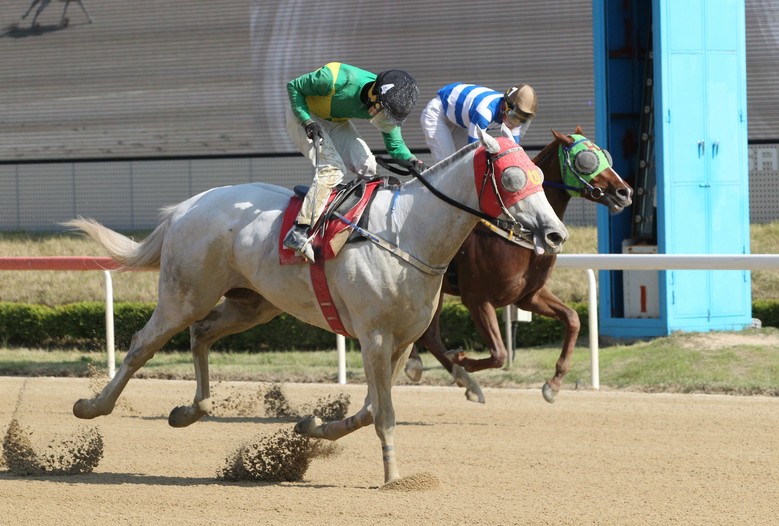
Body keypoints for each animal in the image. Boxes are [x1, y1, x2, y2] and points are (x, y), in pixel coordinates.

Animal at [63, 125, 568, 485]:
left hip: (253, 304)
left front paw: (312, 427)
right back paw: (92, 406)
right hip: (184, 294)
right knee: (141, 344)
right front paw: (395, 477)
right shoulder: (374, 336)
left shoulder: (402, 340)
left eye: (542, 177)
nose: (557, 234)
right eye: (512, 178)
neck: (407, 233)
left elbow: (369, 408)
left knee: (201, 333)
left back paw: (191, 411)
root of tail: (185, 208)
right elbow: (382, 413)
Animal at [404, 127, 633, 404]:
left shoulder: (528, 295)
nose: (625, 192)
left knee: (428, 333)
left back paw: (453, 377)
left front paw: (554, 384)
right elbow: (500, 353)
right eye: (586, 160)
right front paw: (462, 358)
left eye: (605, 154)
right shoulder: (477, 299)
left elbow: (573, 318)